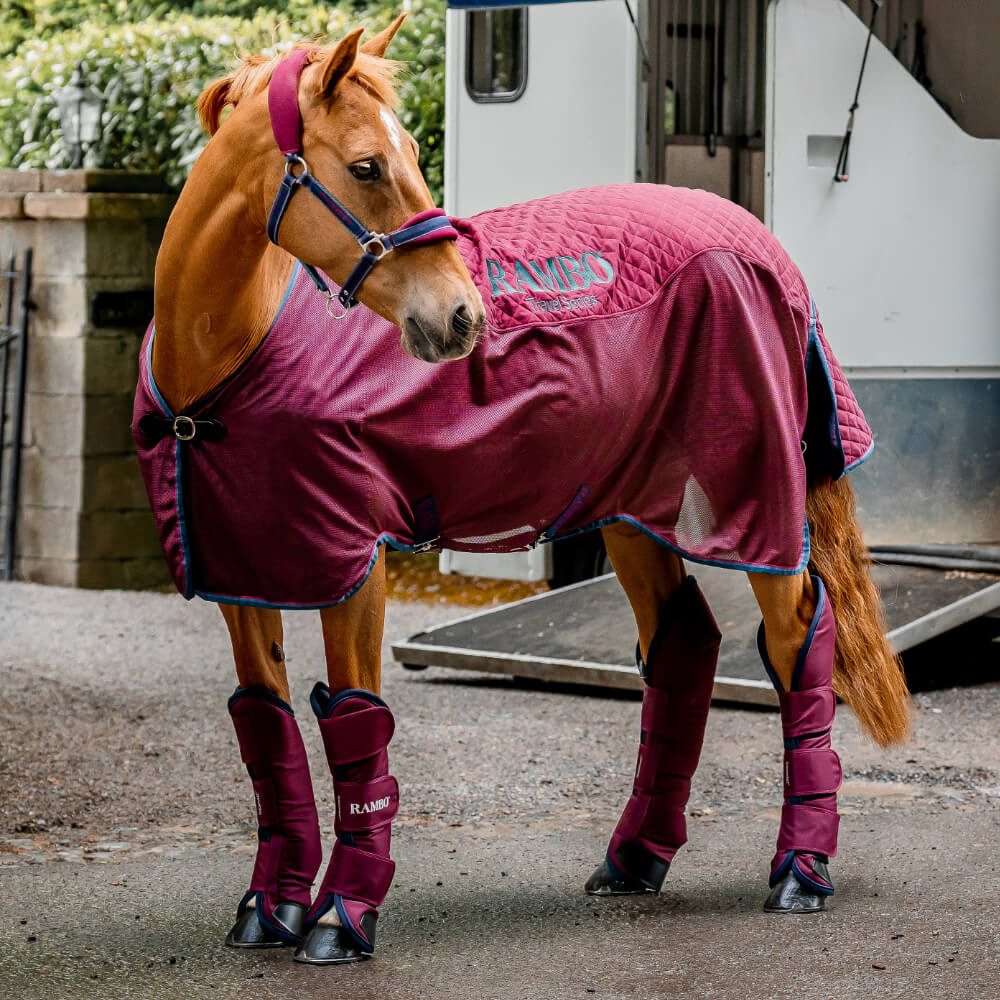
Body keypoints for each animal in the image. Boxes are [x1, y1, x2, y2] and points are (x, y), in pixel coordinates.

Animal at [136, 17, 911, 966]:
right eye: (366, 165)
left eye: (409, 152)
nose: (463, 319)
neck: (229, 356)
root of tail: (759, 241)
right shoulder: (244, 572)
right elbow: (267, 730)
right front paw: (268, 909)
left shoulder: (355, 568)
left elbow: (355, 729)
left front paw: (340, 918)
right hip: (633, 507)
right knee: (682, 649)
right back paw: (635, 859)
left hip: (756, 501)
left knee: (800, 644)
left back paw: (801, 869)